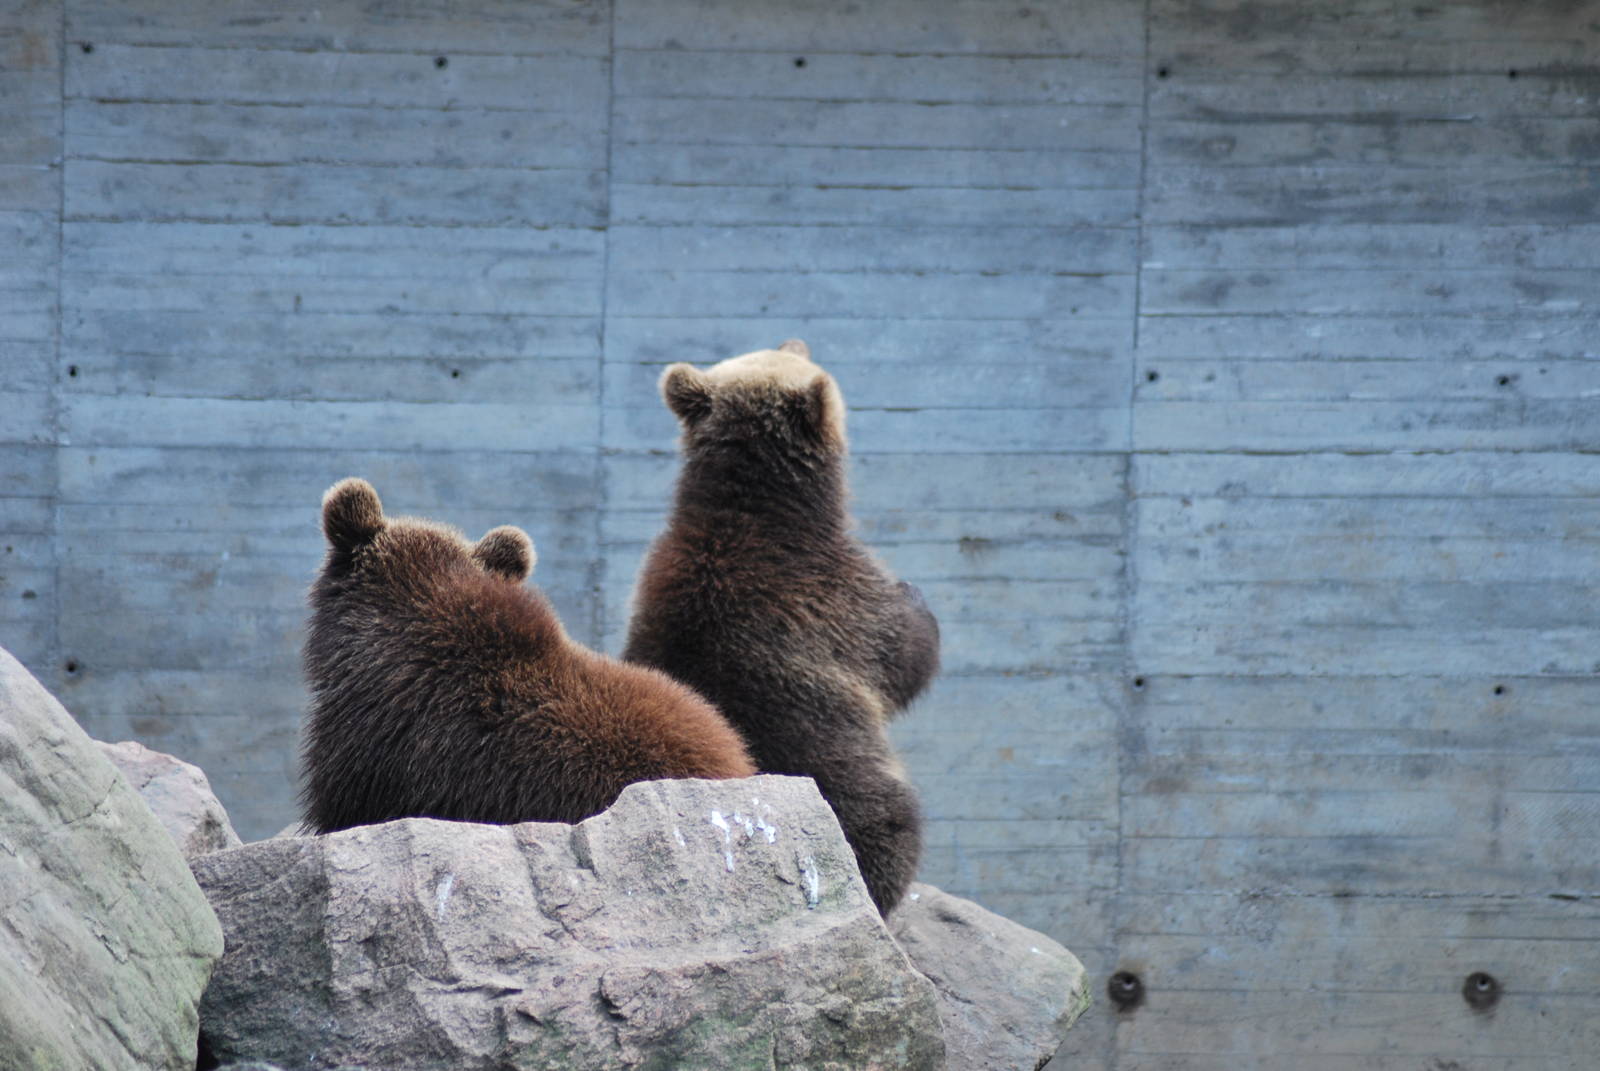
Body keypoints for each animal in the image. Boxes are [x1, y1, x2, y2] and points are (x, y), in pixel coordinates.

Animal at [622, 340, 940, 914]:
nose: (798, 344)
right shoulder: (836, 598)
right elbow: (903, 654)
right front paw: (915, 597)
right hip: (846, 787)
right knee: (892, 821)